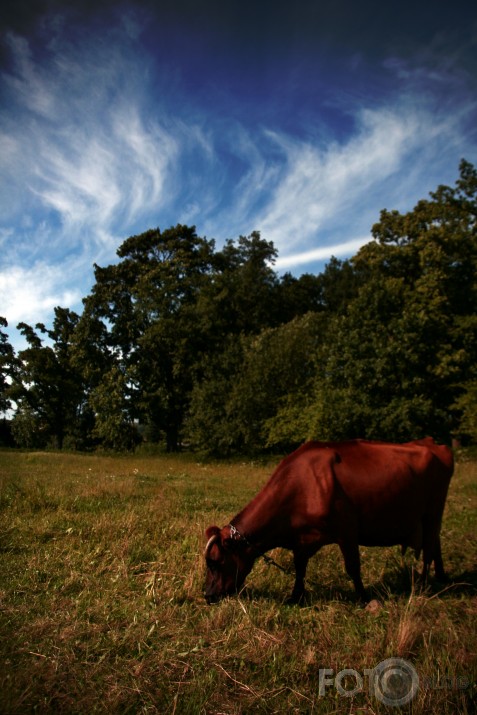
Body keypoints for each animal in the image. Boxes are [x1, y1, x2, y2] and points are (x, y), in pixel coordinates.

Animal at [203, 436, 452, 604]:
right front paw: (295, 597)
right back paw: (441, 576)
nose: (206, 594)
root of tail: (431, 442)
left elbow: (353, 567)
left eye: (215, 561)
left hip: (434, 509)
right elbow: (300, 567)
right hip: (428, 515)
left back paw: (423, 584)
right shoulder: (302, 539)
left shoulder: (347, 530)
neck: (302, 486)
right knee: (435, 542)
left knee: (429, 547)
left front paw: (364, 598)